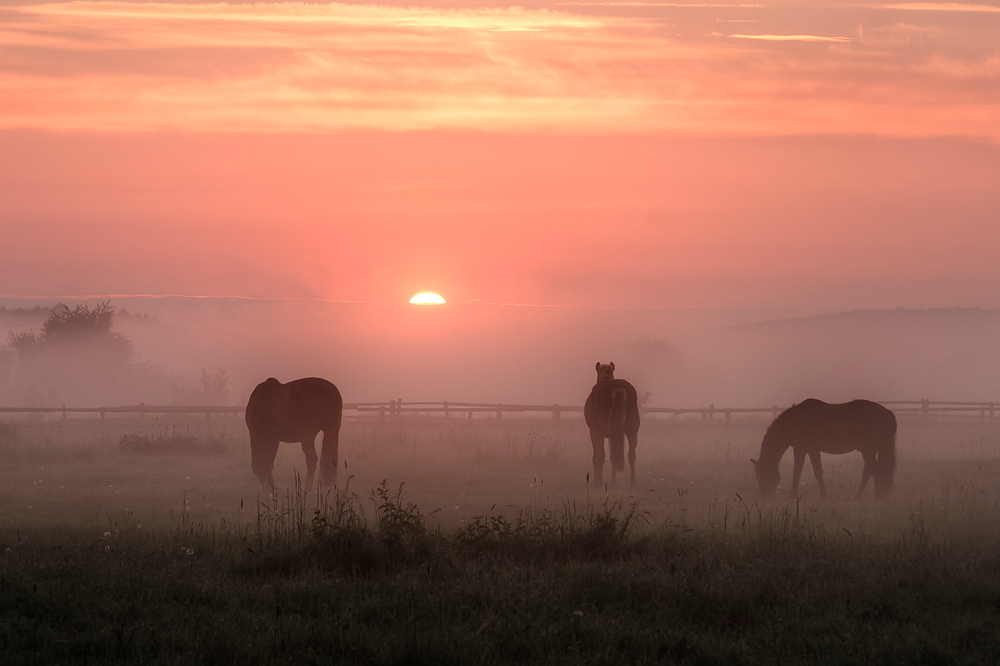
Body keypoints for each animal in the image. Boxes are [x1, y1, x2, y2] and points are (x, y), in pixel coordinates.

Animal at [752, 396, 900, 496]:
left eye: (762, 476)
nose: (764, 496)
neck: (794, 421)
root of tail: (886, 412)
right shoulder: (811, 450)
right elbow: (816, 471)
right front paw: (823, 494)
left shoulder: (801, 449)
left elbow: (798, 472)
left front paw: (793, 495)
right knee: (873, 469)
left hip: (867, 450)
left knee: (873, 470)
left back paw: (863, 496)